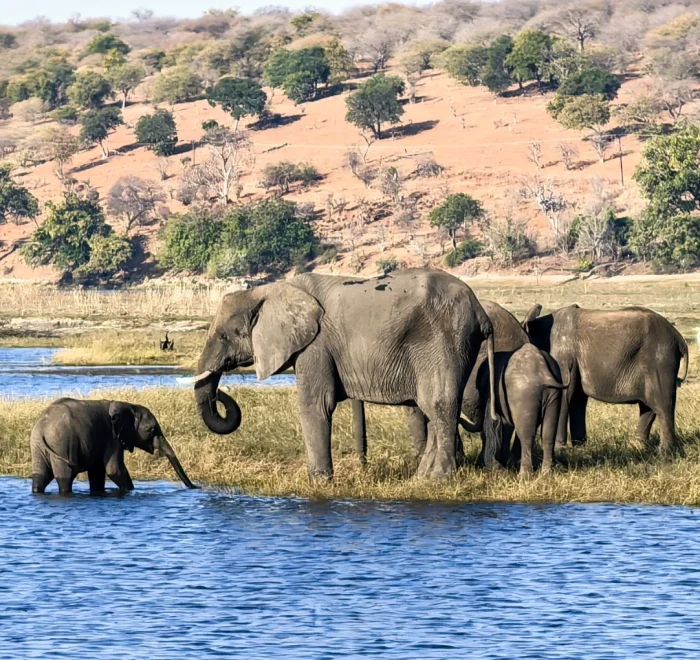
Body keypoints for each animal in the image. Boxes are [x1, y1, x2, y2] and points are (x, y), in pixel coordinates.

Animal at [30, 398, 197, 494]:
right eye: (151, 430)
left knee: (41, 476)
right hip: (61, 443)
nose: (196, 487)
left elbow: (97, 473)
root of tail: (42, 428)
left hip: (38, 446)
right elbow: (114, 470)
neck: (128, 406)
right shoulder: (112, 437)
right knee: (65, 478)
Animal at [193, 269, 496, 480]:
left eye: (225, 336)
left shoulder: (315, 345)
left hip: (444, 339)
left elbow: (315, 404)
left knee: (439, 404)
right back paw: (421, 479)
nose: (221, 395)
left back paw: (438, 480)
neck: (270, 290)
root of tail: (480, 311)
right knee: (432, 407)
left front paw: (319, 482)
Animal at [459, 344, 566, 474]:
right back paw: (546, 472)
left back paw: (524, 474)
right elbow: (507, 426)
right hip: (553, 393)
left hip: (525, 394)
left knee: (526, 434)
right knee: (548, 432)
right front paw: (508, 464)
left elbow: (502, 425)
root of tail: (544, 370)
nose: (459, 420)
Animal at [523, 304, 689, 454]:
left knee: (662, 404)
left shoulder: (563, 355)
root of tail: (679, 338)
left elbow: (565, 395)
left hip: (660, 359)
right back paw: (637, 446)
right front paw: (580, 447)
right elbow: (577, 399)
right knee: (648, 406)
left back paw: (665, 452)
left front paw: (560, 449)